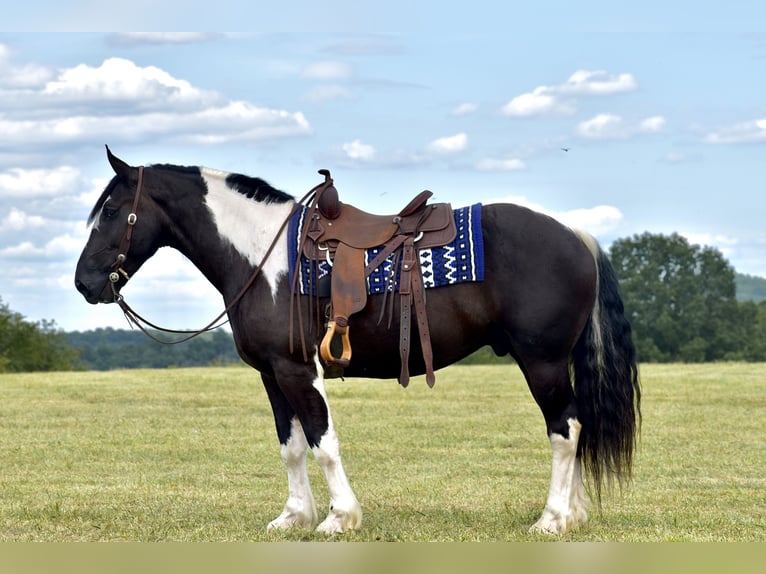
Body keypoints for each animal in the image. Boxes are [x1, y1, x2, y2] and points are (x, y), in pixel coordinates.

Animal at [76, 147, 640, 536]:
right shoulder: (271, 374)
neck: (263, 256)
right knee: (576, 428)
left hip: (542, 361)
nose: (84, 282)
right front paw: (293, 516)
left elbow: (322, 442)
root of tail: (576, 235)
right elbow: (291, 447)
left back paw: (552, 518)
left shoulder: (298, 369)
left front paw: (338, 518)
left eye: (112, 211)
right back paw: (574, 514)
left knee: (565, 429)